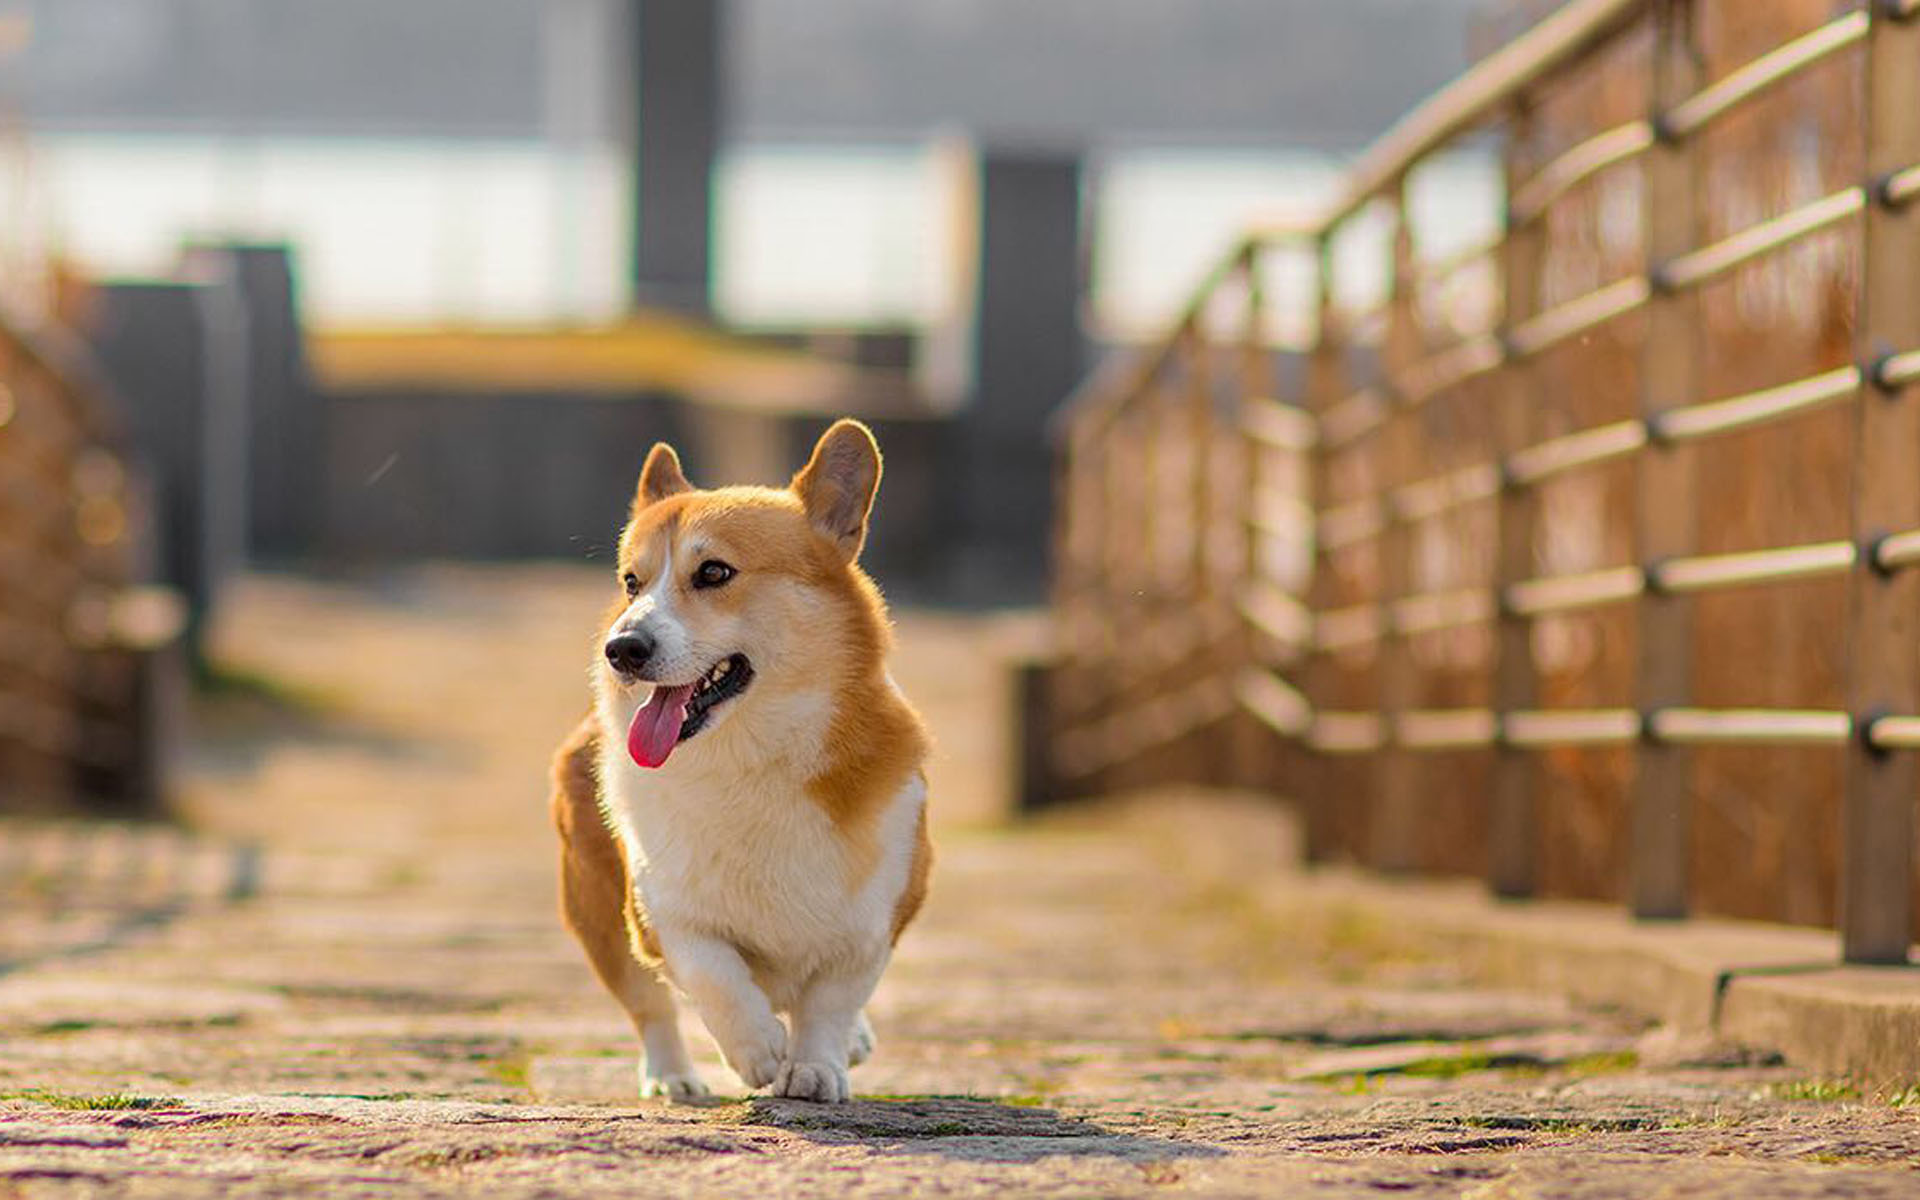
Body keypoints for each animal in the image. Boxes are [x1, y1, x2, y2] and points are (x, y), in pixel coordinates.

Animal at [549, 420, 929, 1105]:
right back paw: (673, 1077)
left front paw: (816, 1068)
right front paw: (758, 1052)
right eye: (631, 582)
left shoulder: (873, 922)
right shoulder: (661, 914)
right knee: (650, 1007)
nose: (621, 648)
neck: (751, 755)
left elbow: (830, 1002)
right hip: (600, 920)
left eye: (714, 572)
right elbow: (715, 974)